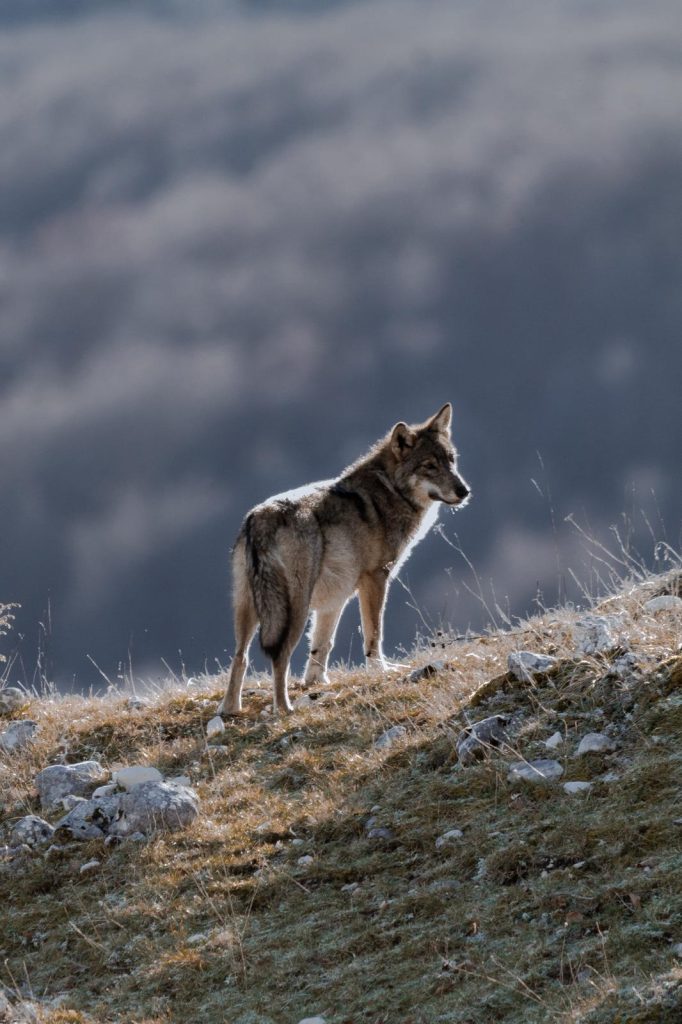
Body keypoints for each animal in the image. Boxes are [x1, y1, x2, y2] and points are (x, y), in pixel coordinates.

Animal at [217, 403, 470, 716]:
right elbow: (374, 633)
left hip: (249, 608)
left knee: (240, 657)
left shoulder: (335, 599)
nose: (464, 491)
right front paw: (381, 670)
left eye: (451, 460)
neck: (390, 491)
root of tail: (261, 518)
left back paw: (230, 710)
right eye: (429, 466)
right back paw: (284, 709)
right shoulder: (375, 579)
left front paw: (317, 682)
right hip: (293, 609)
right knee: (279, 656)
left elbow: (321, 646)